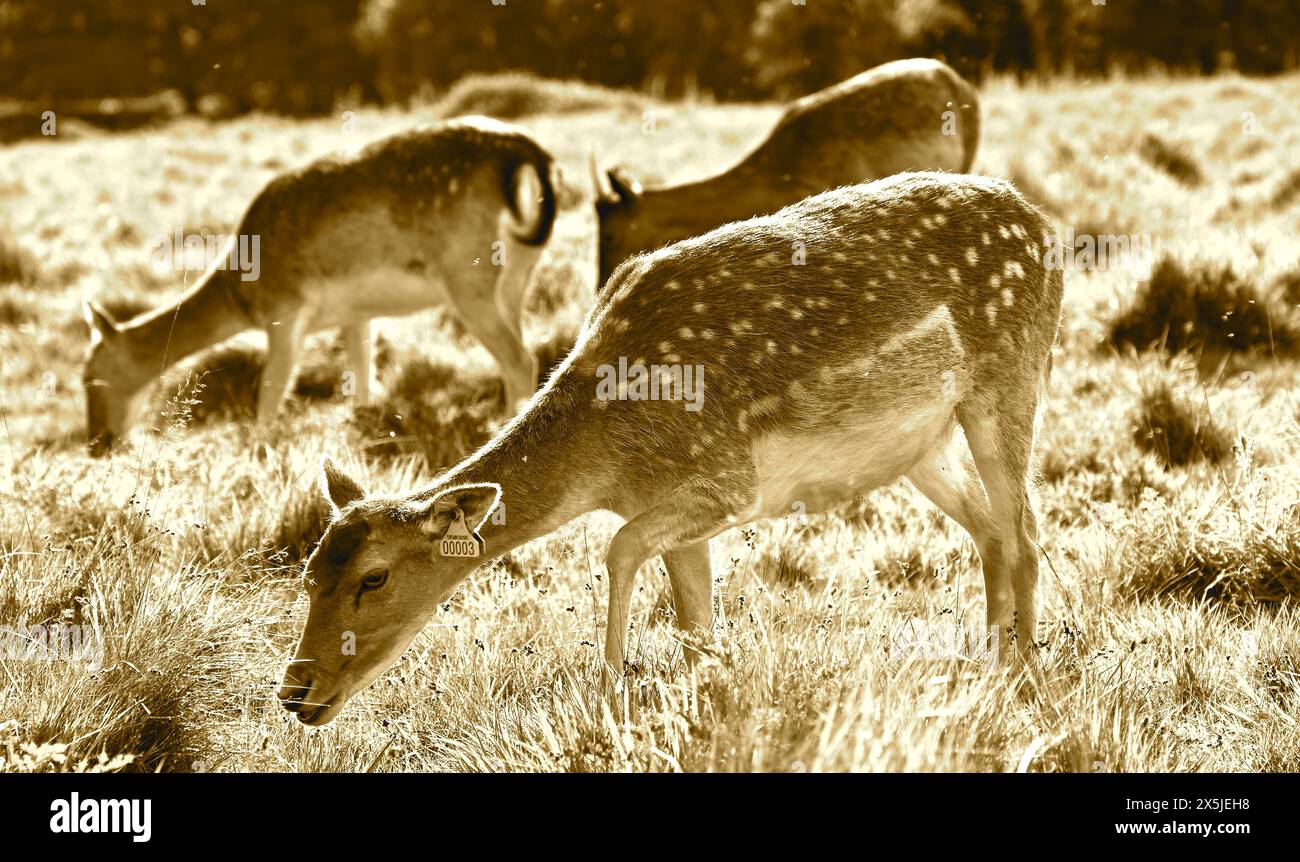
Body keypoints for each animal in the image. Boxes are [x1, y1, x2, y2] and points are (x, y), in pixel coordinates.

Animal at [81, 116, 557, 456]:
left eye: (90, 378)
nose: (98, 444)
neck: (242, 294)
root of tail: (527, 152)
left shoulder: (286, 311)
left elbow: (271, 392)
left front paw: (258, 454)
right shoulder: (357, 314)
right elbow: (362, 377)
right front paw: (363, 432)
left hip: (468, 277)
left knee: (520, 358)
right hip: (517, 275)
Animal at [279, 171, 1063, 726]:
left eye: (374, 578)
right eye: (308, 573)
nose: (293, 689)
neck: (608, 460)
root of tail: (1046, 226)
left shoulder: (728, 478)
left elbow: (619, 545)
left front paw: (609, 690)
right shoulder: (688, 513)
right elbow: (695, 624)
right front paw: (707, 698)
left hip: (1009, 381)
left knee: (1025, 528)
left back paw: (1020, 675)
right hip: (923, 446)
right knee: (991, 530)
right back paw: (988, 659)